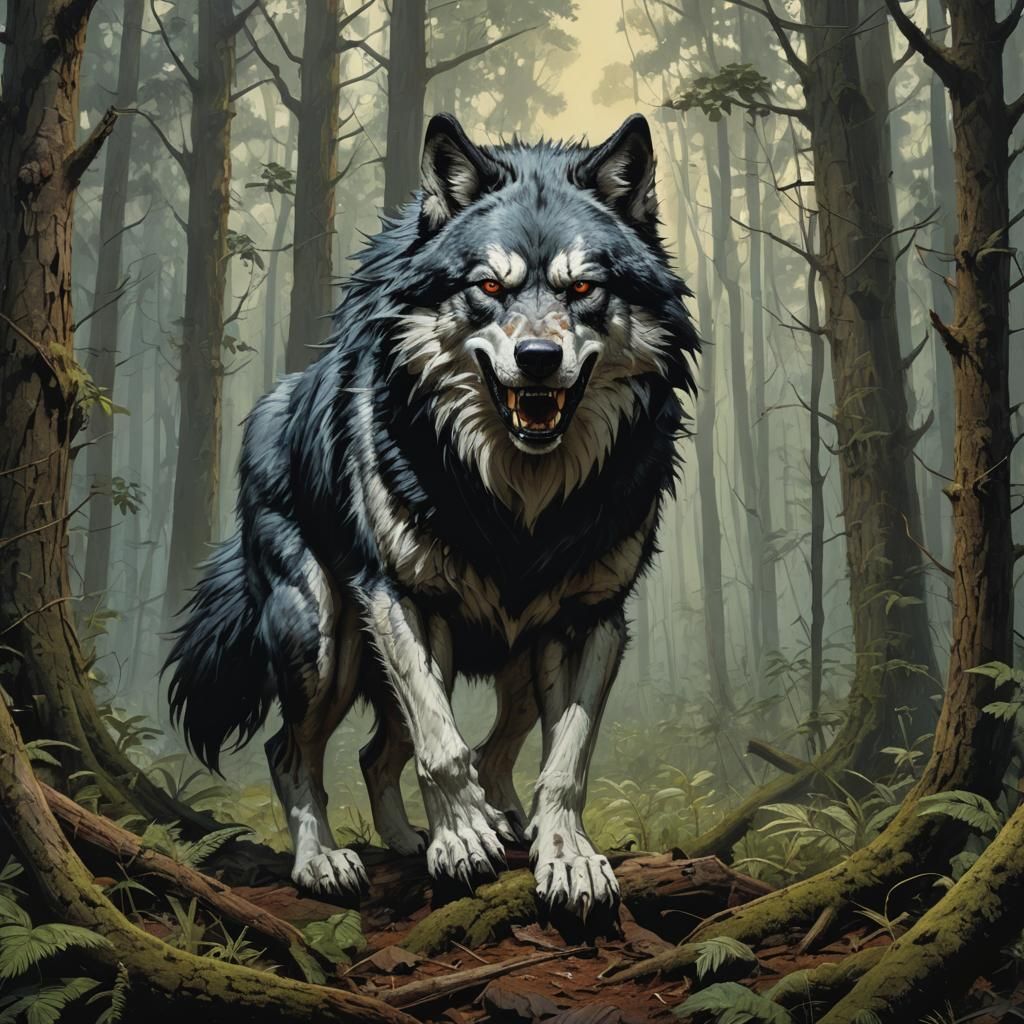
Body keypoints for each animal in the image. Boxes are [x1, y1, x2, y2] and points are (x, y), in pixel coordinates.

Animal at [165, 112, 699, 923]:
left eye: (582, 287)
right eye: (488, 286)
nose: (537, 358)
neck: (519, 506)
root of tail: (276, 401)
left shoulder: (591, 618)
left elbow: (567, 756)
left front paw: (564, 855)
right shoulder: (403, 598)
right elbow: (441, 745)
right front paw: (464, 839)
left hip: (513, 658)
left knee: (425, 750)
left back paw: (465, 829)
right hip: (324, 641)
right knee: (295, 752)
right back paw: (327, 860)